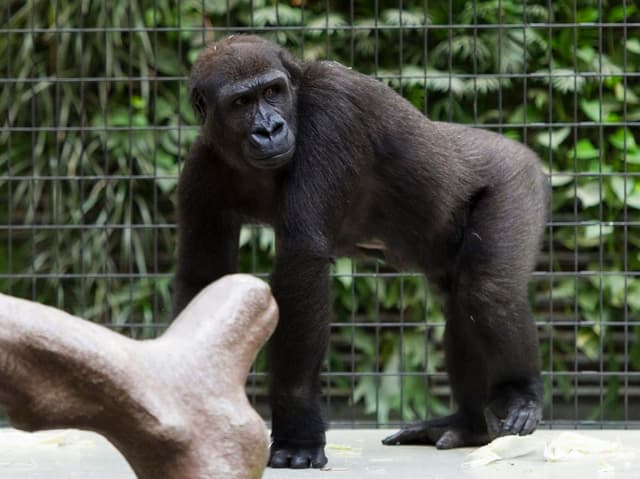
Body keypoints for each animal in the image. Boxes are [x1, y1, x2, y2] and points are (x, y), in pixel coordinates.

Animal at [172, 35, 548, 470]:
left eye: (271, 92)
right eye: (240, 103)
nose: (269, 129)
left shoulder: (332, 112)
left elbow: (302, 260)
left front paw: (298, 431)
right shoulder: (199, 169)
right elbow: (202, 278)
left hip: (517, 179)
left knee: (488, 293)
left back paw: (521, 393)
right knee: (461, 303)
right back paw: (469, 424)